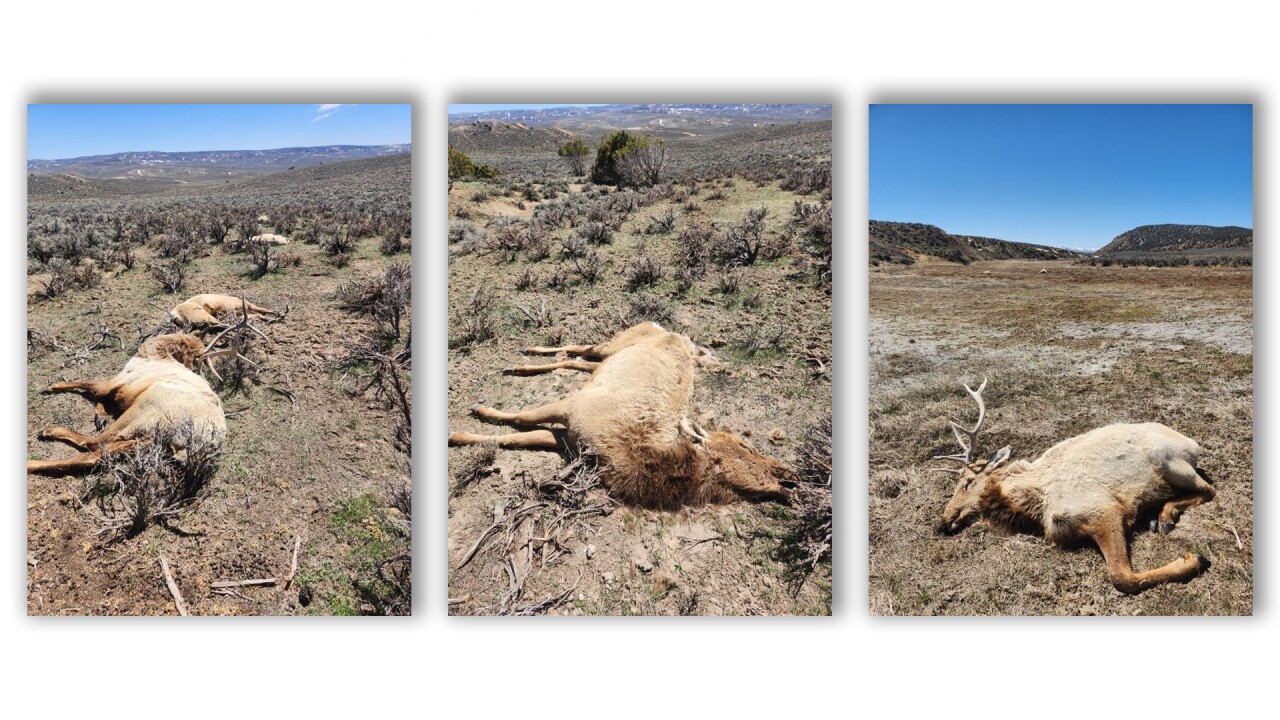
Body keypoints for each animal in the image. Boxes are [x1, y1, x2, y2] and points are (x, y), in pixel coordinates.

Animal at [28, 333, 232, 476]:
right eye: (196, 360)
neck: (155, 353)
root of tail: (205, 440)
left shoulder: (115, 383)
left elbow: (87, 384)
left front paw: (52, 386)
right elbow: (101, 398)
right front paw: (100, 417)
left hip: (142, 411)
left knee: (94, 443)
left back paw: (42, 443)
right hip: (150, 438)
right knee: (100, 453)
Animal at [448, 321, 799, 509]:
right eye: (745, 448)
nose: (790, 477)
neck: (620, 447)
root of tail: (668, 329)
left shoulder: (566, 439)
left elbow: (514, 437)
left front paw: (460, 433)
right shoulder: (571, 407)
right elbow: (519, 418)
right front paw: (472, 414)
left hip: (605, 358)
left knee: (576, 361)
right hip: (615, 343)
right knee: (582, 346)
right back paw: (525, 355)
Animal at [934, 378, 1215, 594]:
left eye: (968, 482)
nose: (943, 520)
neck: (1034, 503)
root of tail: (1192, 443)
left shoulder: (1105, 509)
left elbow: (1122, 577)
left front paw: (1195, 558)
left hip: (1169, 462)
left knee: (1209, 489)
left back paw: (1166, 518)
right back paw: (1160, 518)